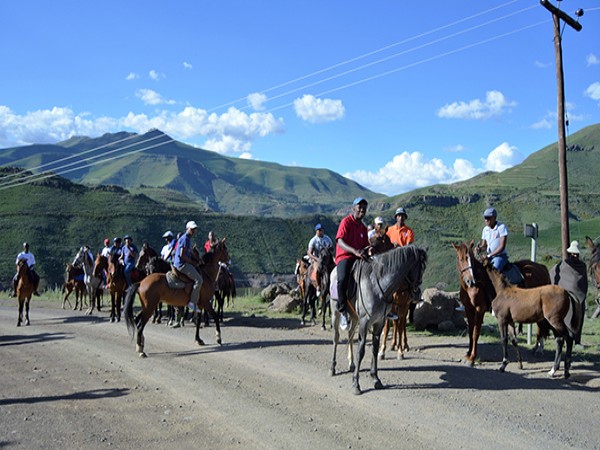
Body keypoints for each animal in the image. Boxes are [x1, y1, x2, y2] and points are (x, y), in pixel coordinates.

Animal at [331, 245, 427, 395]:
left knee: (350, 334)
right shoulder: (365, 322)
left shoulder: (379, 322)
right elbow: (361, 350)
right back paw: (333, 367)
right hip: (335, 313)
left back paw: (351, 364)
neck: (377, 286)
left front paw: (376, 379)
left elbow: (375, 349)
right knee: (336, 338)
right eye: (420, 268)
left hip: (354, 316)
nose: (417, 294)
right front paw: (356, 384)